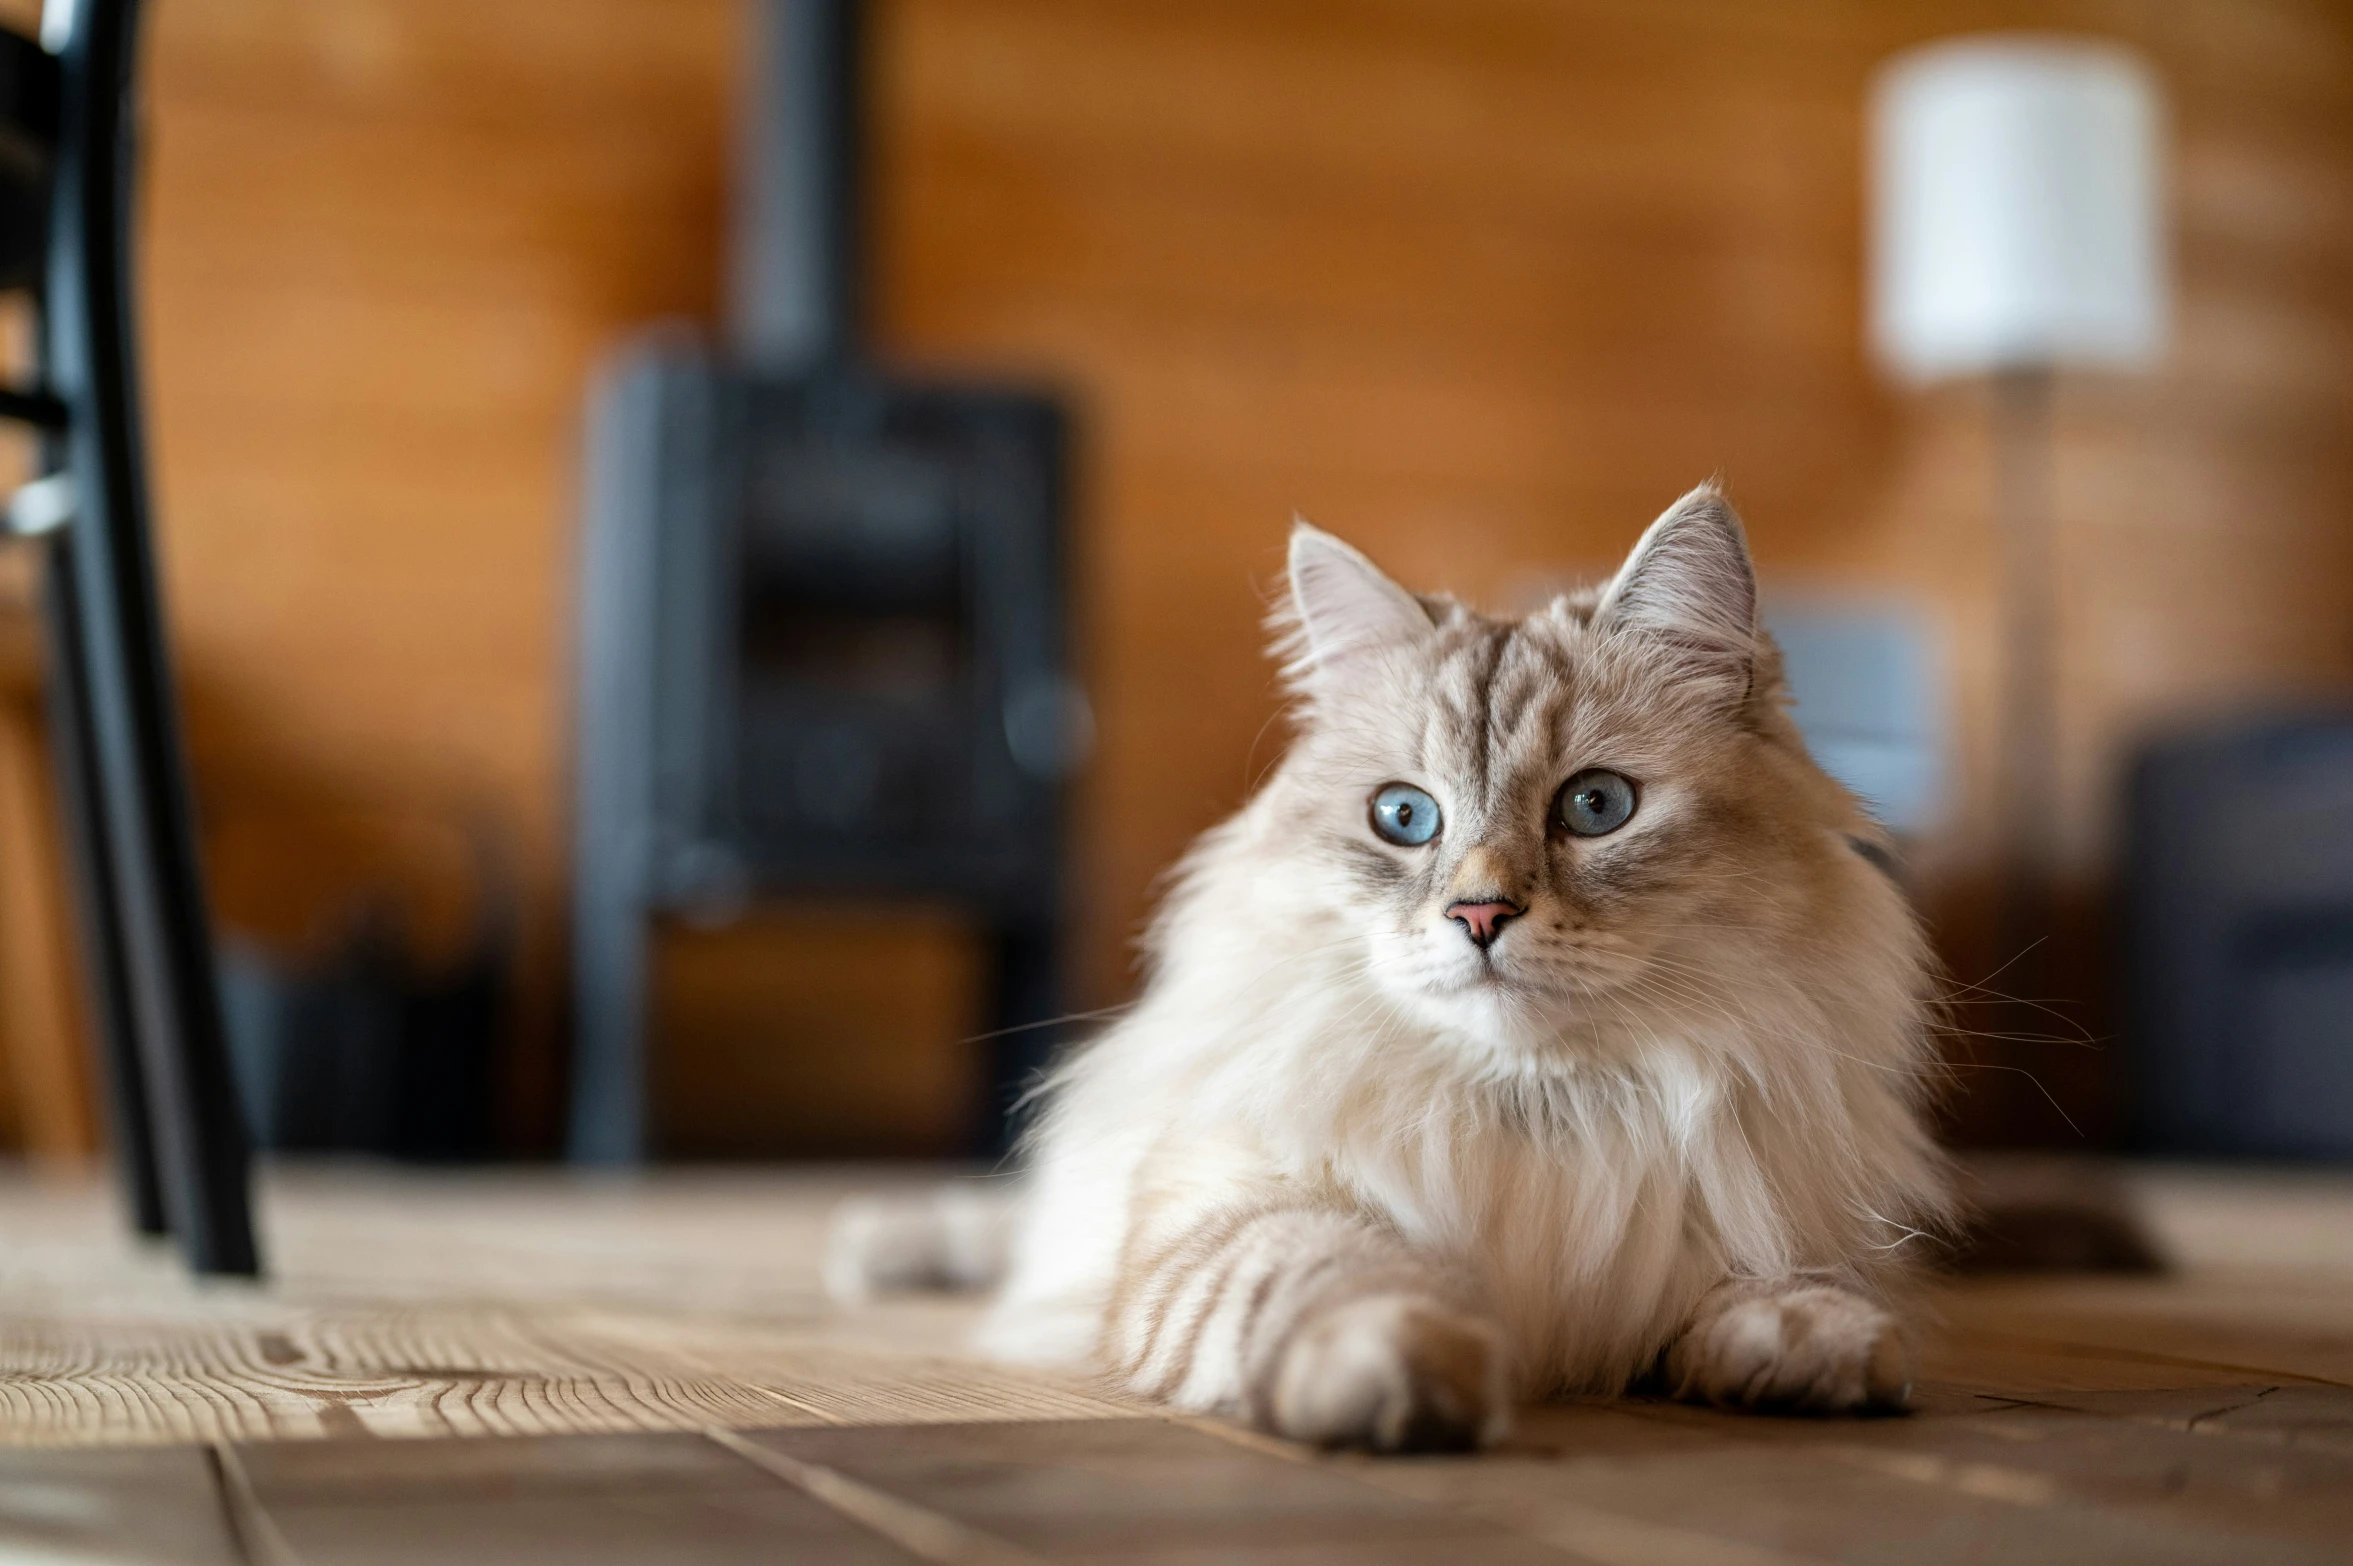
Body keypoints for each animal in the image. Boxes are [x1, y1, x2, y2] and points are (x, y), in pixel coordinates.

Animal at [828, 482, 1948, 1448]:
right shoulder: (1235, 1205)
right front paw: (1411, 1376)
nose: (1480, 913)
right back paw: (881, 1242)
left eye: (1596, 807)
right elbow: (1328, 1283)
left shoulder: (1763, 1214)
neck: (1538, 1109)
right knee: (1006, 1223)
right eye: (1404, 818)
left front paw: (1807, 1351)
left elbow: (1777, 1287)